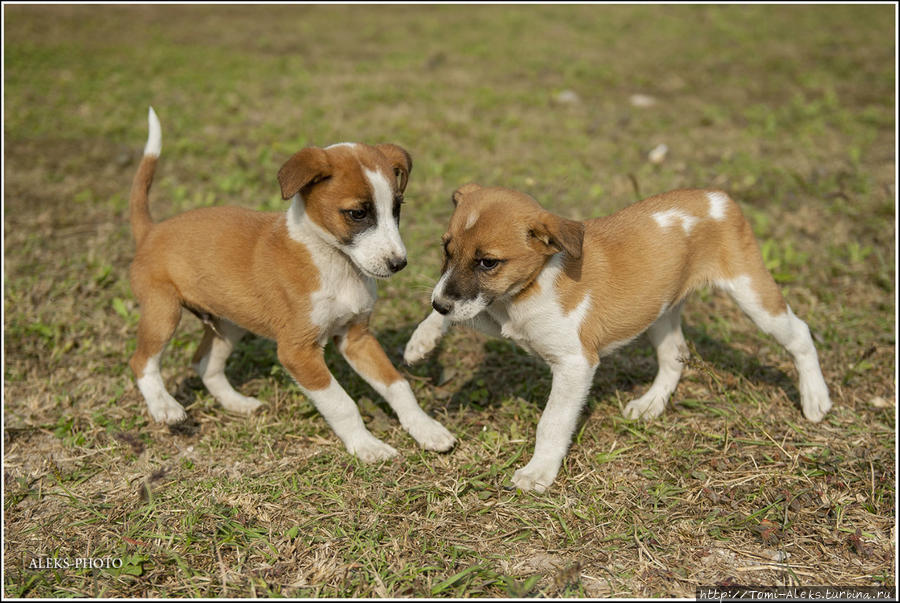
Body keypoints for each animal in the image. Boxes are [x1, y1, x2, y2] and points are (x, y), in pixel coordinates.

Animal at [126, 107, 458, 462]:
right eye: (357, 213)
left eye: (396, 209)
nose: (399, 263)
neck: (334, 263)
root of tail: (151, 230)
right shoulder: (297, 352)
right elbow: (342, 404)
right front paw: (366, 445)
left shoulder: (357, 338)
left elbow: (398, 386)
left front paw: (426, 429)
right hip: (163, 312)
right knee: (142, 362)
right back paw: (165, 408)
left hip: (229, 324)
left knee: (204, 364)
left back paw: (237, 403)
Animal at [404, 186, 832, 494]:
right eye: (446, 249)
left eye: (488, 262)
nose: (439, 301)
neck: (529, 287)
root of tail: (717, 197)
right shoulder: (497, 315)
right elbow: (461, 314)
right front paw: (421, 340)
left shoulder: (575, 365)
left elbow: (552, 422)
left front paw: (539, 471)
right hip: (659, 310)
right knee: (675, 355)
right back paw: (650, 405)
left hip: (752, 295)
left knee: (800, 333)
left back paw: (815, 398)